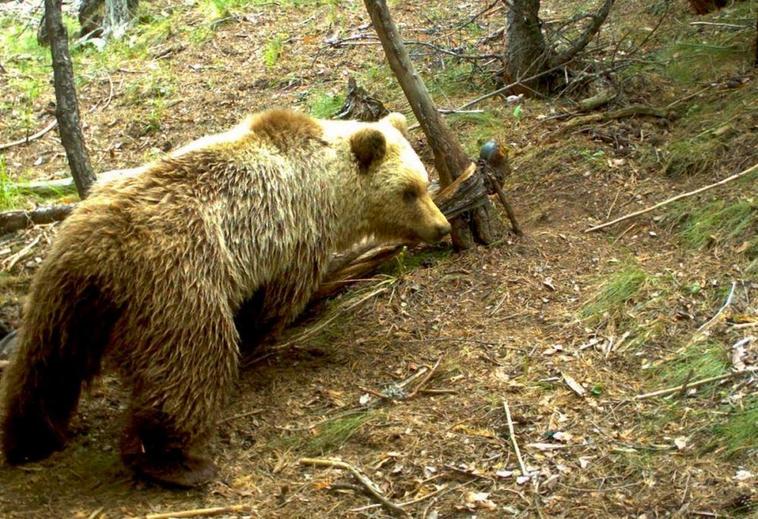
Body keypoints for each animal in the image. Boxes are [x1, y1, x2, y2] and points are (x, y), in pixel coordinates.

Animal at [0, 108, 452, 488]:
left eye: (422, 183)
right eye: (409, 191)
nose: (442, 226)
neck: (326, 186)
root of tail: (101, 255)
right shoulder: (295, 240)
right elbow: (274, 302)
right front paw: (264, 331)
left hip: (63, 293)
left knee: (45, 364)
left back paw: (30, 438)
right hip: (178, 287)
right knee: (189, 366)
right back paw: (175, 461)